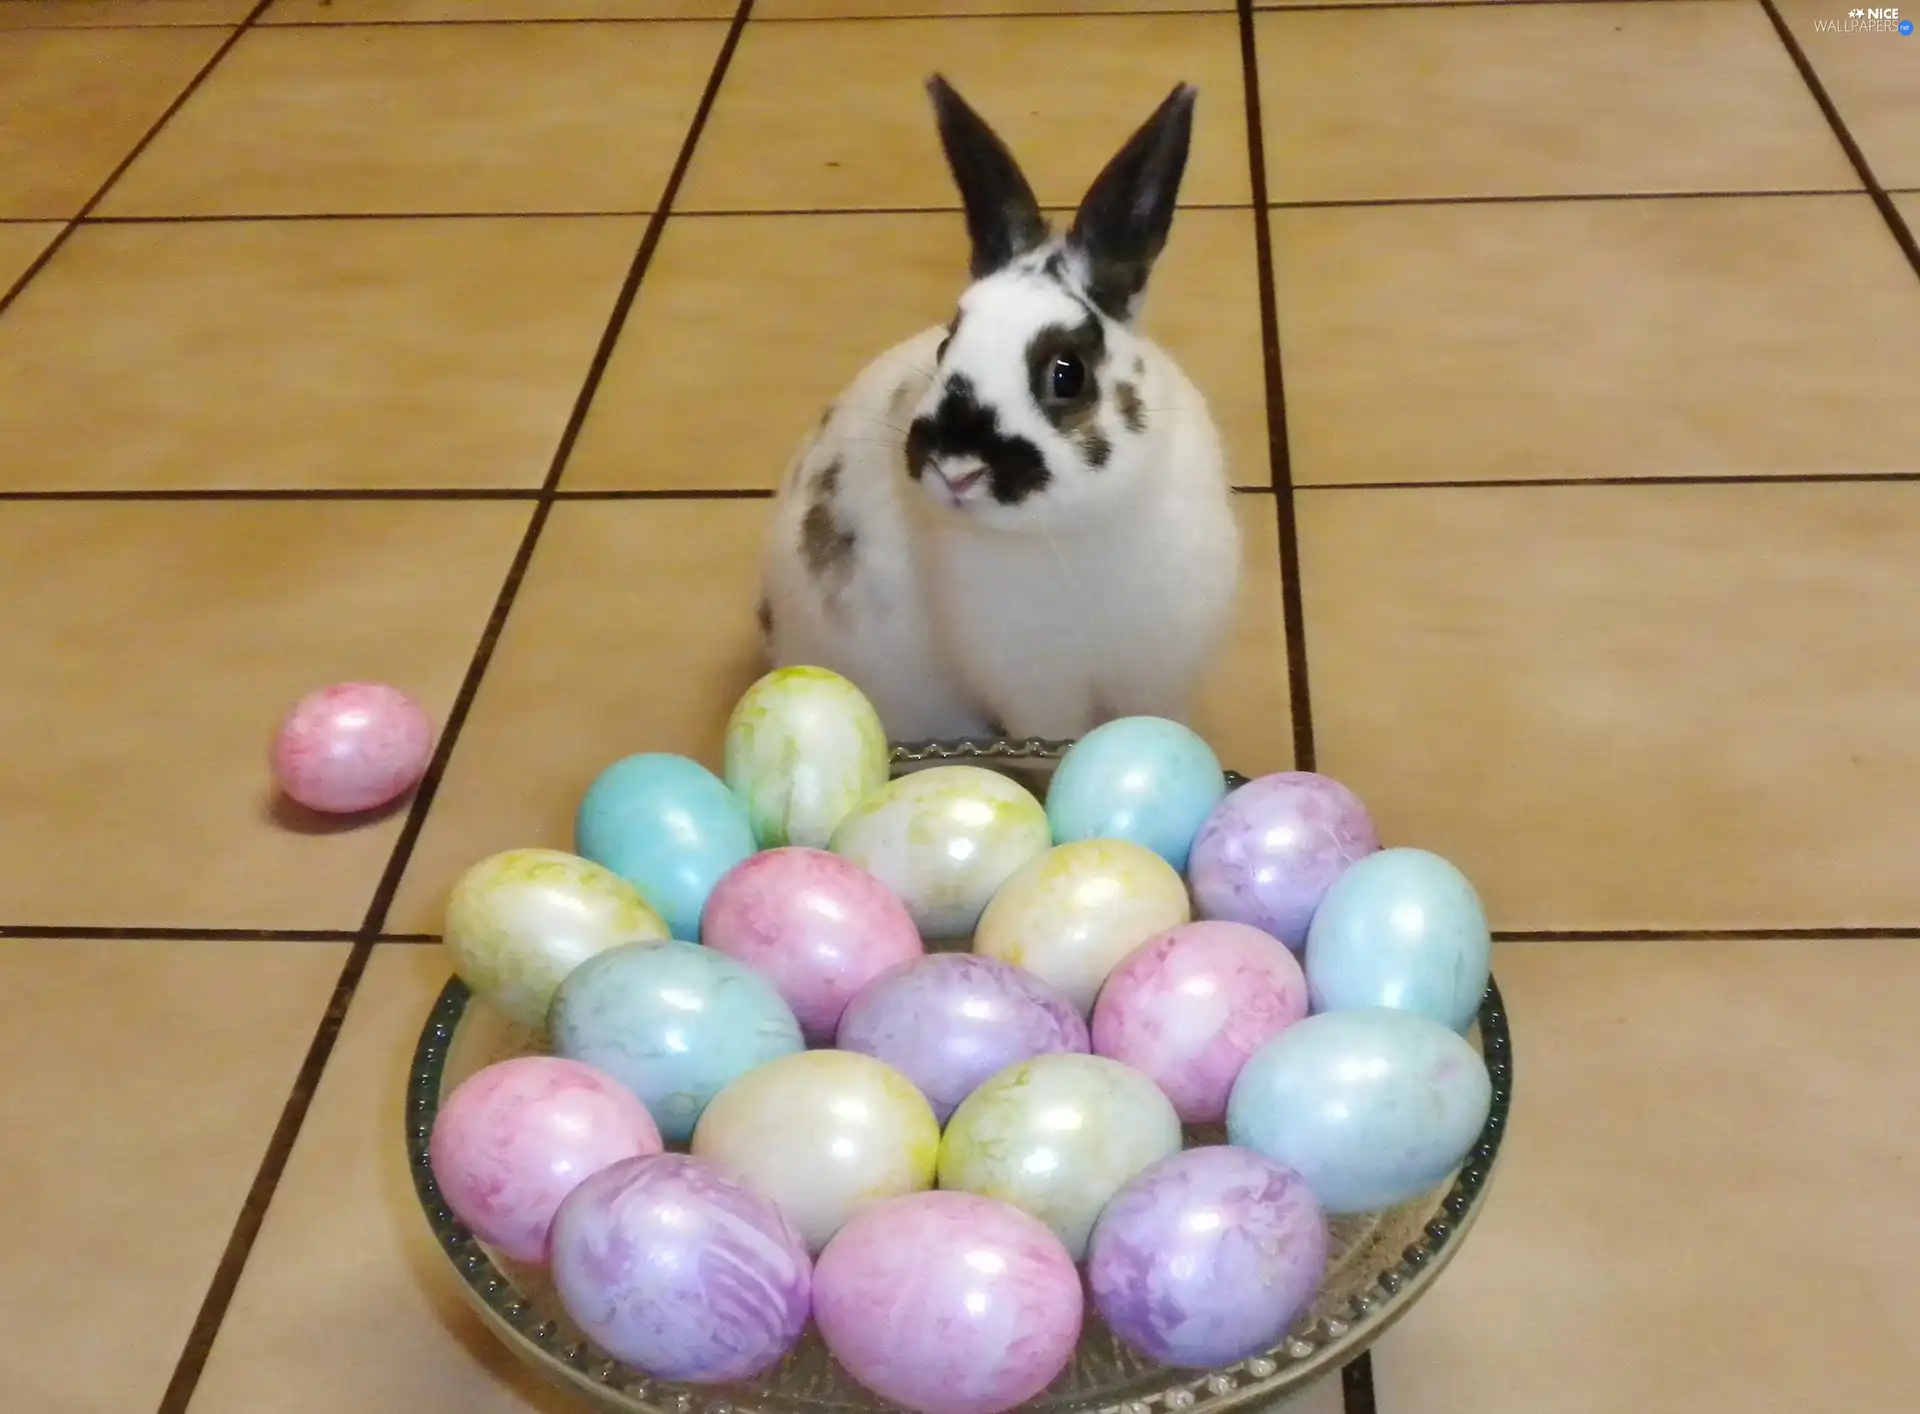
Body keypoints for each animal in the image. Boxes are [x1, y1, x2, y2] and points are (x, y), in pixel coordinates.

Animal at [756, 75, 1236, 745]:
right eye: (945, 346)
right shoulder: (1032, 690)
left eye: (1067, 373)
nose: (956, 470)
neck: (1068, 531)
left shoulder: (1160, 674)